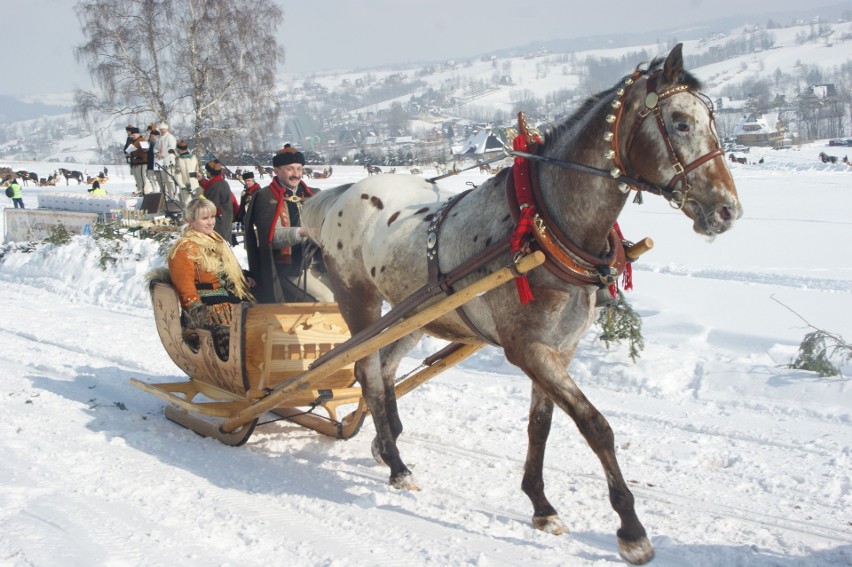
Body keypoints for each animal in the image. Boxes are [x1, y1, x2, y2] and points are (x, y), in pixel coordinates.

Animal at [300, 44, 740, 564]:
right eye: (680, 122)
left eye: (712, 119)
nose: (728, 210)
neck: (547, 223)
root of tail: (340, 194)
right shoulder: (528, 349)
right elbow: (595, 426)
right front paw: (631, 529)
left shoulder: (558, 350)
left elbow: (540, 427)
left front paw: (541, 505)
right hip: (360, 301)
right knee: (366, 370)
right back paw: (396, 464)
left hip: (415, 314)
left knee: (384, 369)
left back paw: (384, 443)